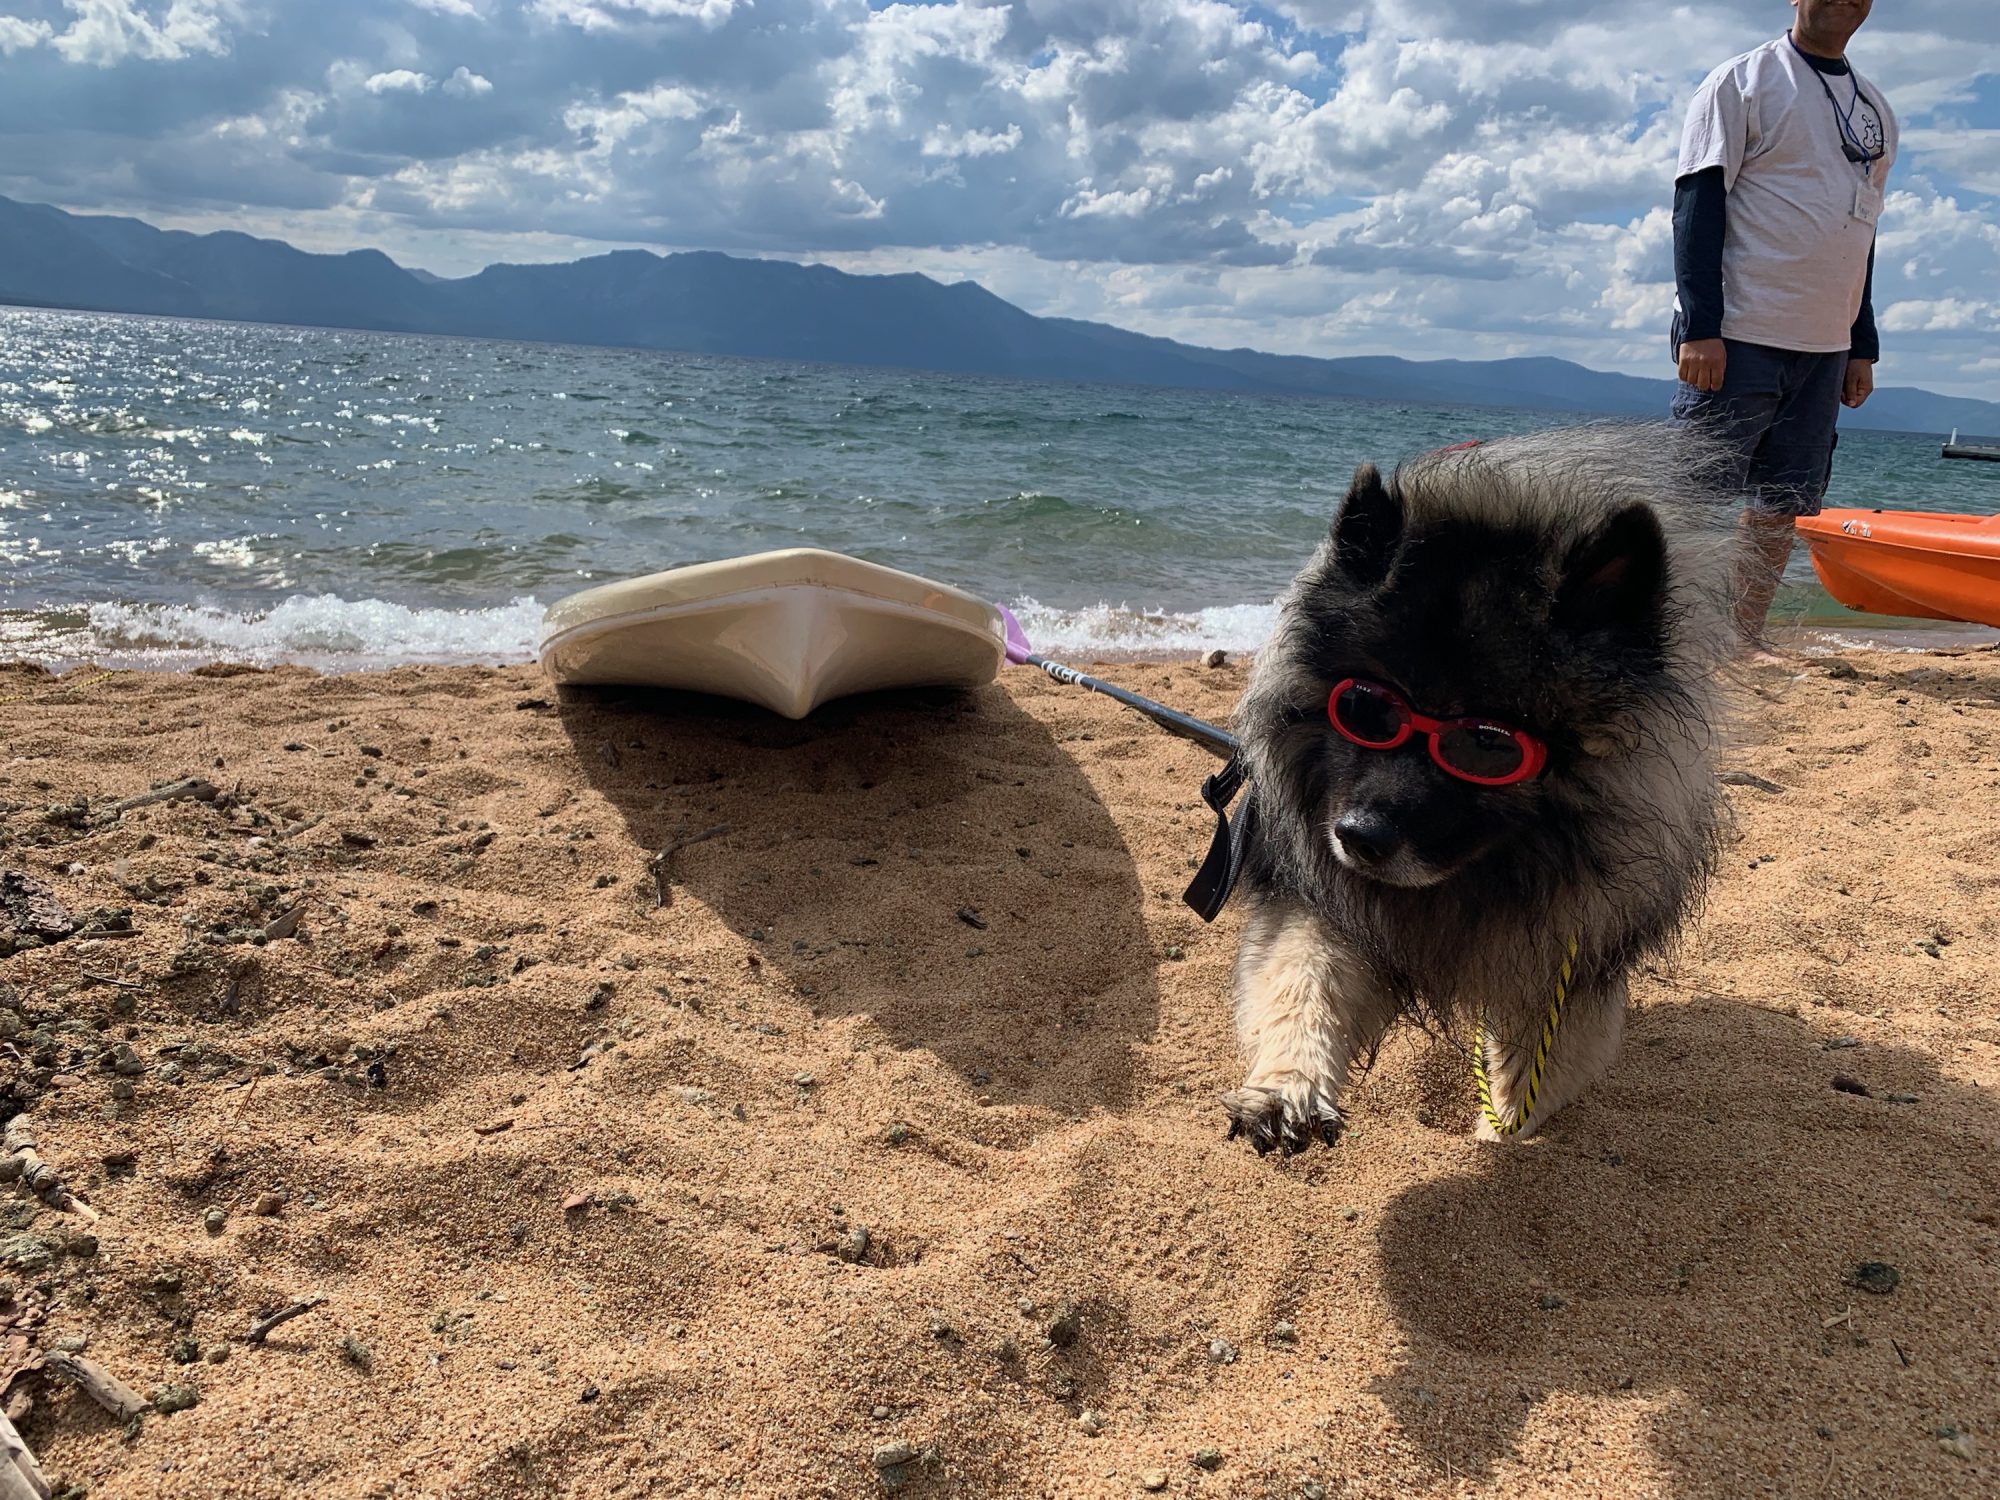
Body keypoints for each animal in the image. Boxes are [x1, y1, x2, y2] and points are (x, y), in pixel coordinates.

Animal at [1216, 428, 1736, 1160]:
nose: (1358, 836)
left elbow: (1537, 1075)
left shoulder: (1569, 960)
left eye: (1487, 745)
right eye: (1366, 707)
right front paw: (1287, 1089)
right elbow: (1302, 982)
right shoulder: (1324, 902)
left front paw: (1495, 1135)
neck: (1471, 882)